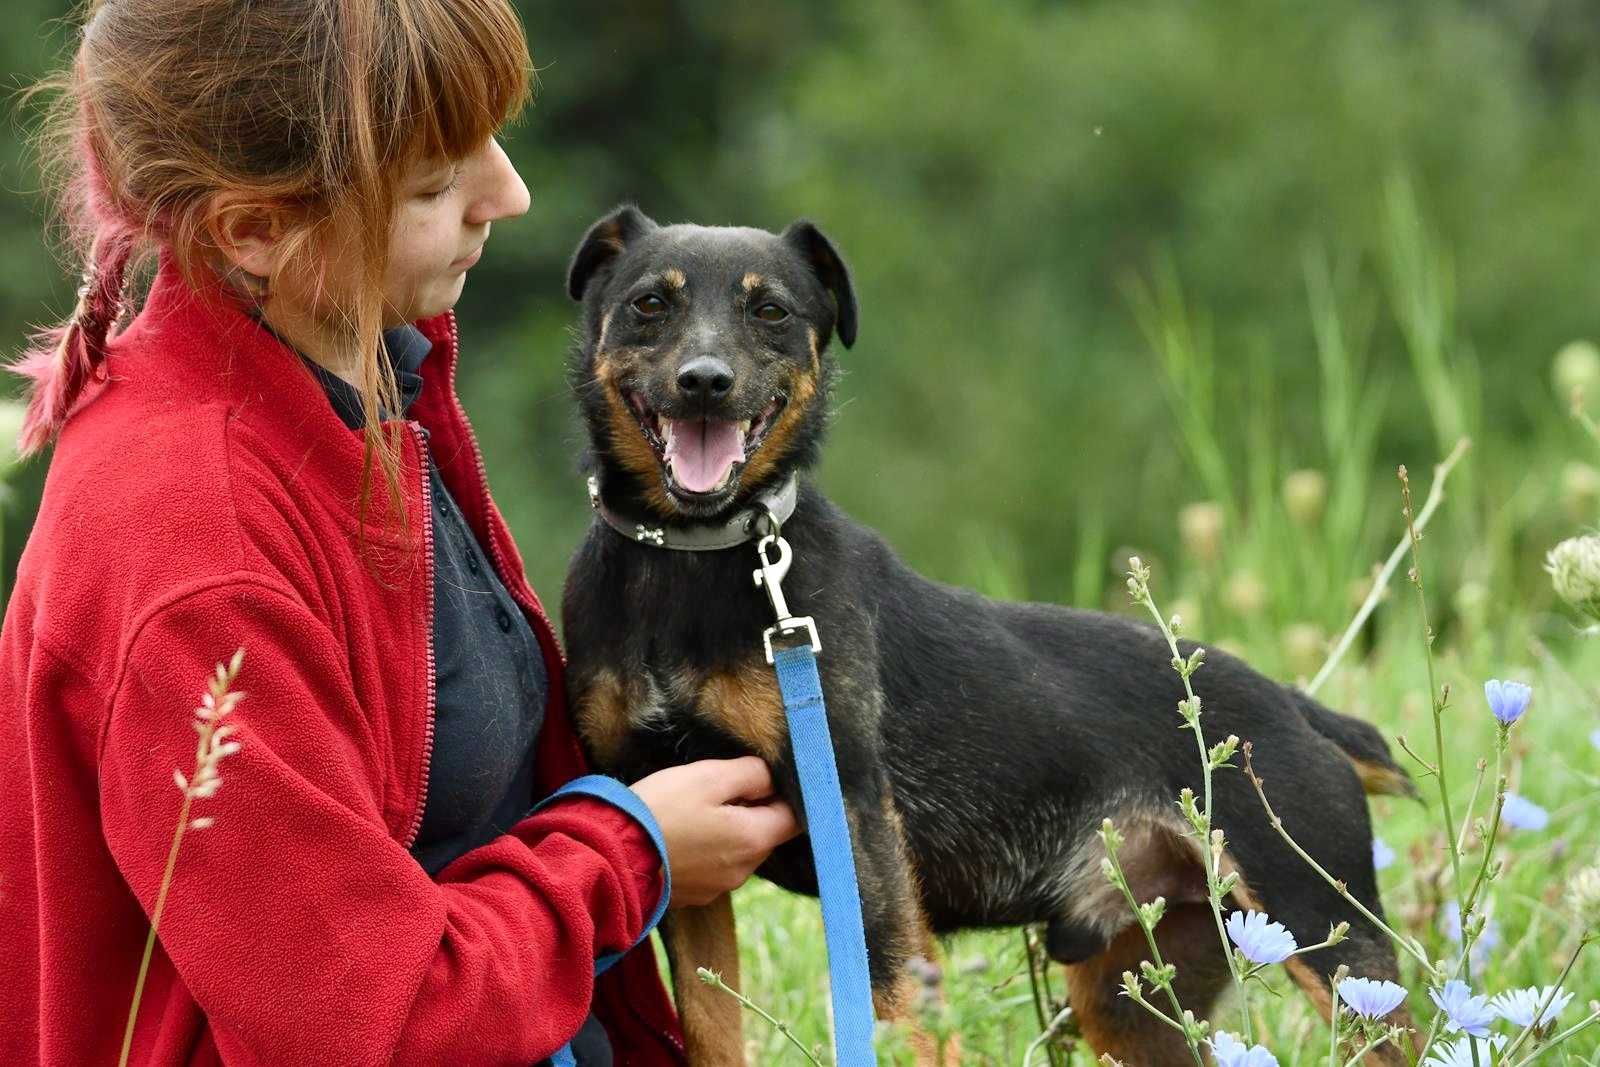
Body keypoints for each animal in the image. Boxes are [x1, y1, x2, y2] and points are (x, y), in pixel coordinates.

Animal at [560, 204, 1414, 1062]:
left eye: (770, 310)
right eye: (649, 304)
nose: (705, 381)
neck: (690, 559)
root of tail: (1298, 709)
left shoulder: (857, 820)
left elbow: (895, 1004)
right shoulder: (683, 849)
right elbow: (710, 1024)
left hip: (1329, 943)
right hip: (1136, 998)